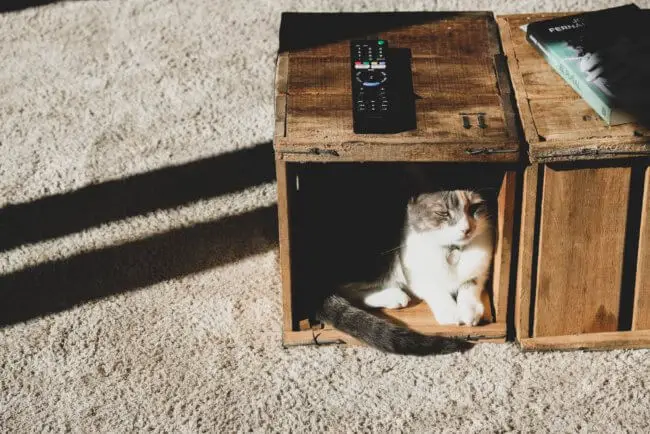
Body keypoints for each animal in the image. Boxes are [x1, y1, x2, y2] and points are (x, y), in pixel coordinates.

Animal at [314, 188, 492, 354]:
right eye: (443, 213)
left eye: (474, 208)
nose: (466, 229)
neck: (450, 249)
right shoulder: (415, 273)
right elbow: (436, 290)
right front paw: (450, 311)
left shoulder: (481, 266)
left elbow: (470, 284)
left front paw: (470, 310)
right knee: (346, 289)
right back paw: (393, 296)